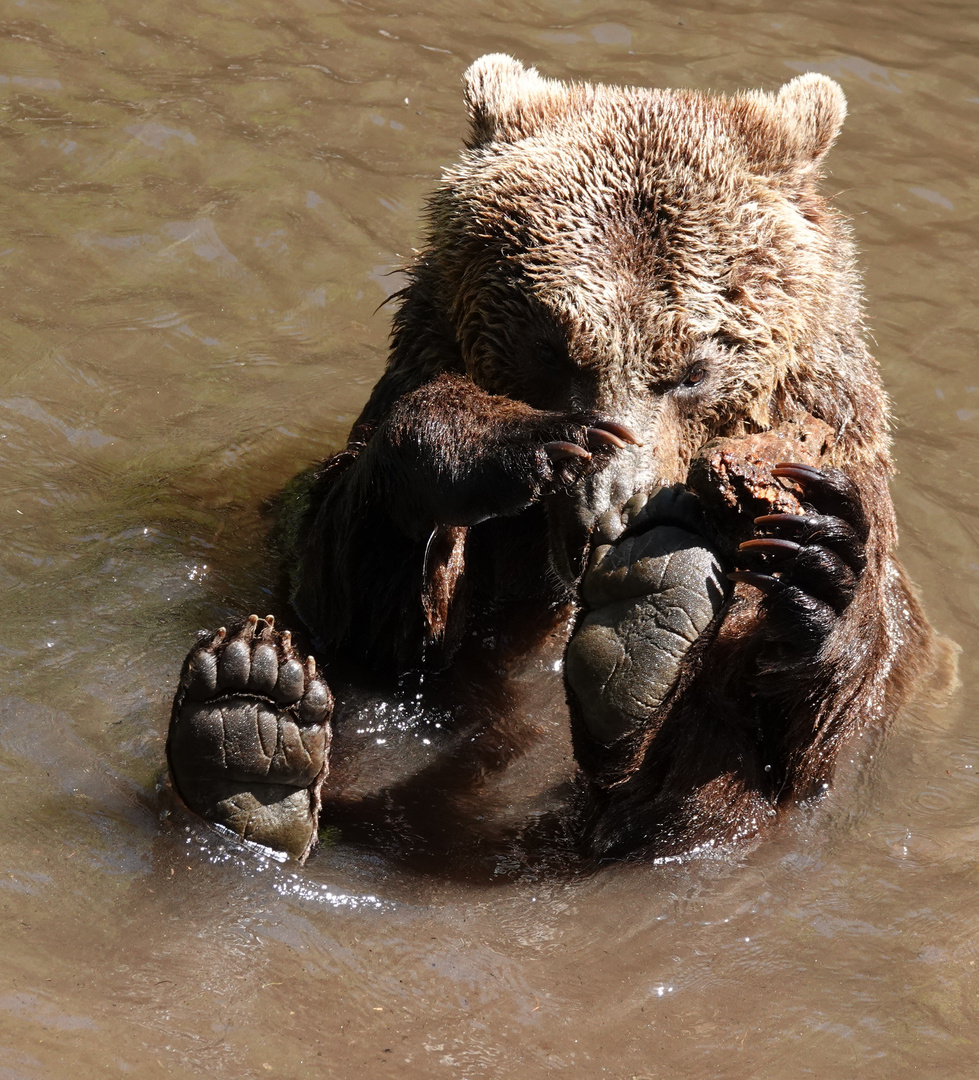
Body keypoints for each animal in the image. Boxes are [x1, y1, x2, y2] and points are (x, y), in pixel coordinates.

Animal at [166, 52, 929, 868]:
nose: (615, 507)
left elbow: (800, 748)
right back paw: (248, 718)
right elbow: (360, 606)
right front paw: (503, 442)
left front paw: (812, 549)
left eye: (693, 368)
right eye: (554, 346)